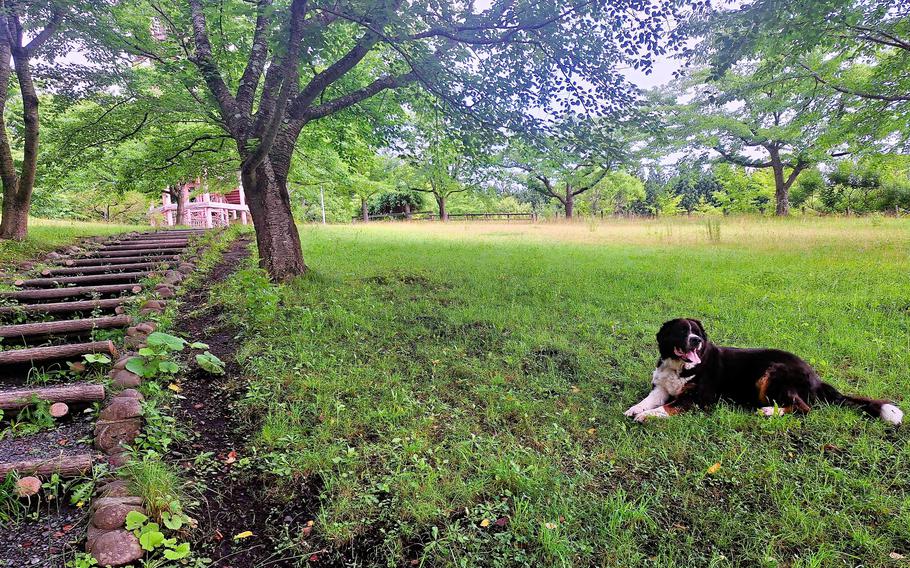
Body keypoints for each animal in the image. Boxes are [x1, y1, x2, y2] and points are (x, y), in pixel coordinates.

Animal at [628, 318, 904, 424]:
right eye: (682, 331)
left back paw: (770, 411)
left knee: (803, 408)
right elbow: (649, 400)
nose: (695, 341)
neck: (679, 366)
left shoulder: (699, 397)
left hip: (773, 373)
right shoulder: (661, 387)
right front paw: (636, 409)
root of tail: (816, 377)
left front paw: (648, 415)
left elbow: (667, 407)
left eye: (697, 332)